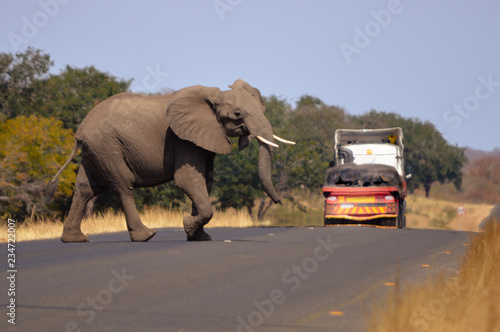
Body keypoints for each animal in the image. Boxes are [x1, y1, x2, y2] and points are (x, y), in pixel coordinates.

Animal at [46, 79, 292, 243]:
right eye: (238, 114)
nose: (279, 202)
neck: (214, 95)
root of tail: (79, 131)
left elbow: (205, 179)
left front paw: (199, 237)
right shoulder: (182, 138)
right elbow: (188, 179)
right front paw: (187, 225)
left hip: (94, 150)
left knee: (85, 187)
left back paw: (75, 239)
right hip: (108, 147)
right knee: (123, 184)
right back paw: (146, 236)